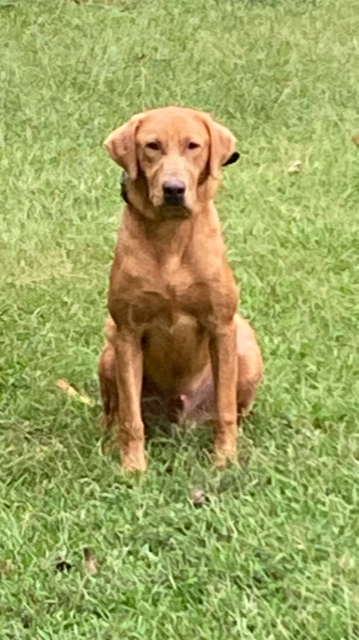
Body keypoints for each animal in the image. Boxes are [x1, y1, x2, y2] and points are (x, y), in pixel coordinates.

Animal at [100, 106, 262, 470]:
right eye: (152, 146)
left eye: (193, 145)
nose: (173, 189)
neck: (171, 237)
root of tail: (178, 414)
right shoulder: (127, 331)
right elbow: (131, 417)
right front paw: (133, 467)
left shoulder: (221, 325)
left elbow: (226, 410)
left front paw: (224, 460)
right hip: (109, 347)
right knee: (113, 411)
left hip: (246, 347)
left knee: (235, 411)